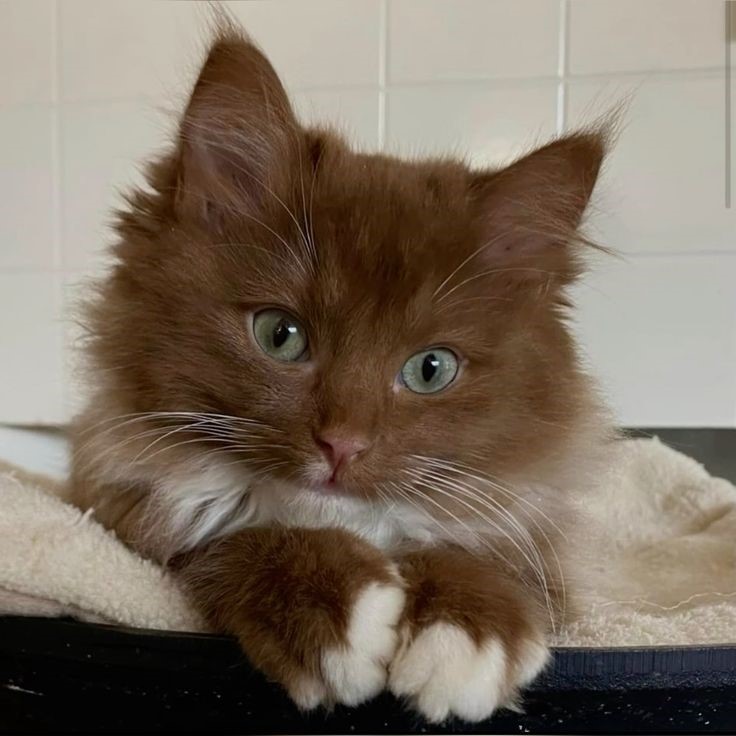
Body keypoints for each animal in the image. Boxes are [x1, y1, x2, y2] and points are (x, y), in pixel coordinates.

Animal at [69, 18, 612, 724]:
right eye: (280, 335)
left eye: (431, 369)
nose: (342, 444)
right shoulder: (118, 511)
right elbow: (226, 532)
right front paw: (336, 612)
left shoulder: (534, 540)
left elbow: (488, 556)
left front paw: (468, 633)